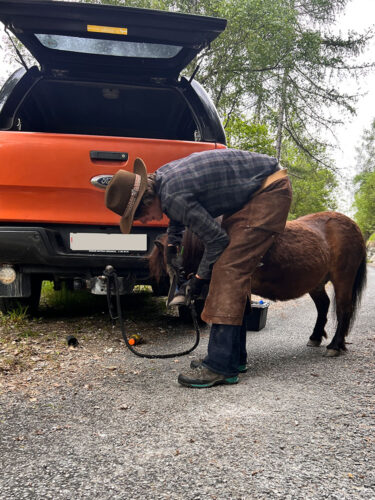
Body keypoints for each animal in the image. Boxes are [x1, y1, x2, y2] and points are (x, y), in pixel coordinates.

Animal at [150, 211, 368, 356]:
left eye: (171, 265)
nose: (176, 299)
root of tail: (354, 226)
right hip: (316, 283)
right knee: (323, 306)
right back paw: (315, 338)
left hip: (343, 280)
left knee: (344, 310)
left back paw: (335, 346)